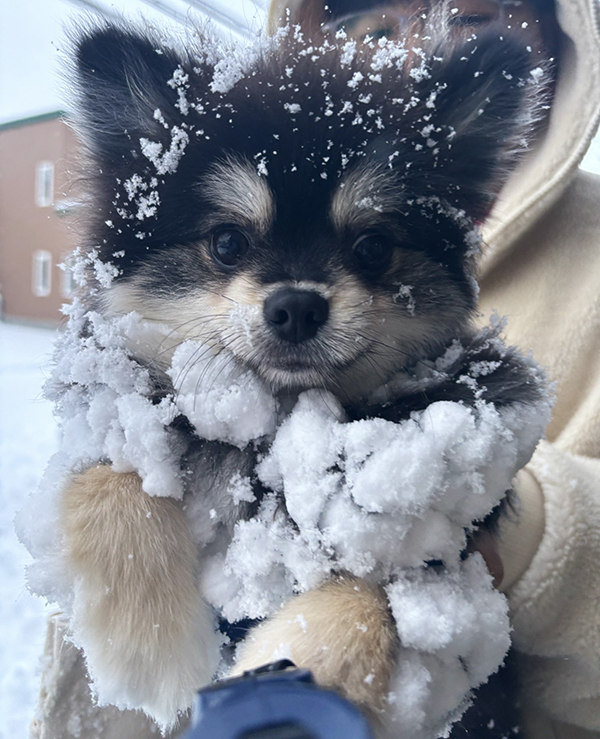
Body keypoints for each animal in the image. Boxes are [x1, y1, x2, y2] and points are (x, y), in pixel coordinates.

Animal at [56, 17, 544, 739]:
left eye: (373, 247)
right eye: (227, 242)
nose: (296, 305)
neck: (281, 422)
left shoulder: (449, 543)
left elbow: (371, 594)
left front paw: (299, 662)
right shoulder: (124, 411)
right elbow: (112, 476)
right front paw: (152, 648)